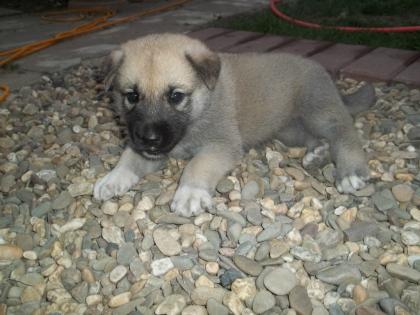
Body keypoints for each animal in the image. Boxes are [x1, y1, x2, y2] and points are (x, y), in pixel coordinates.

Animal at [93, 34, 376, 217]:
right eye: (132, 96)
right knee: (312, 136)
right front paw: (113, 178)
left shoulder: (222, 145)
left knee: (344, 131)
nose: (149, 139)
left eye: (176, 96)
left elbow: (199, 164)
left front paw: (190, 192)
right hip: (287, 129)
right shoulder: (150, 147)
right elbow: (130, 157)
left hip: (318, 110)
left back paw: (349, 171)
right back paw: (316, 153)